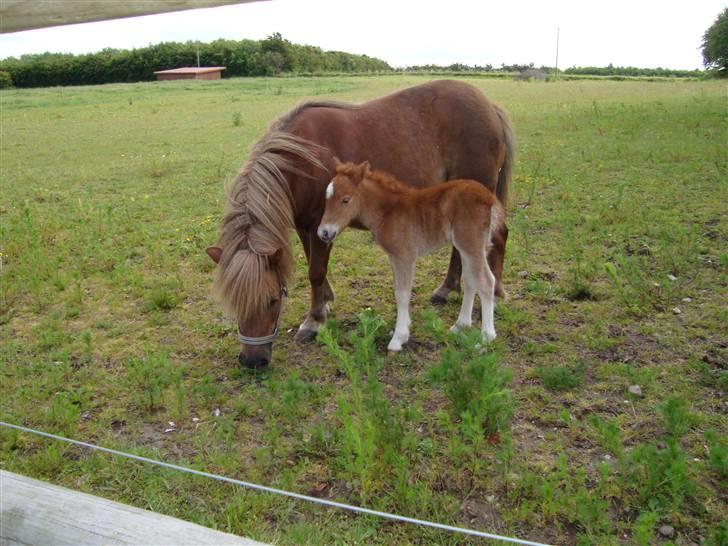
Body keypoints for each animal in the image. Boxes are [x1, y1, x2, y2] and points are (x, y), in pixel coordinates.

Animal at [318, 159, 506, 350]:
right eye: (326, 198)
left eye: (345, 200)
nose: (324, 232)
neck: (388, 212)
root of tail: (489, 198)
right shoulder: (394, 256)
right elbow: (397, 289)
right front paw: (403, 329)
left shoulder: (405, 256)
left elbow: (402, 293)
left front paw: (398, 338)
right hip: (467, 247)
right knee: (470, 280)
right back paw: (461, 325)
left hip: (471, 245)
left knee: (486, 281)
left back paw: (486, 337)